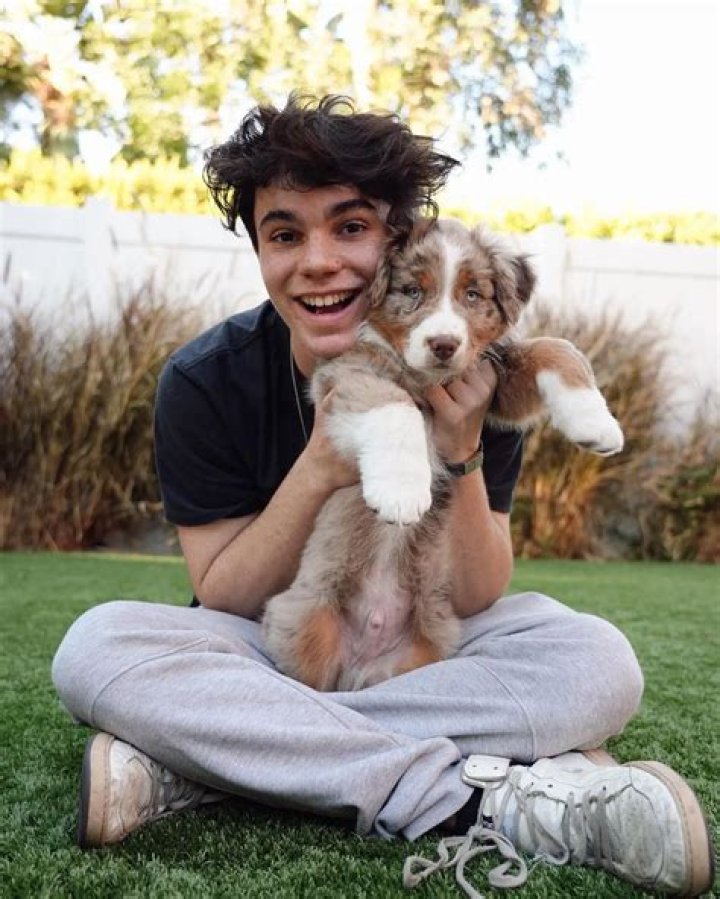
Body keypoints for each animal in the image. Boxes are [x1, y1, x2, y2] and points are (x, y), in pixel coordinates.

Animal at [261, 218, 624, 691]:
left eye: (473, 295)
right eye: (412, 290)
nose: (444, 344)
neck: (427, 378)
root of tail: (360, 668)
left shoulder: (492, 378)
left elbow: (555, 347)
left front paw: (597, 424)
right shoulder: (346, 375)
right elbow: (394, 407)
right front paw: (402, 493)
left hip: (430, 643)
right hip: (302, 620)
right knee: (310, 685)